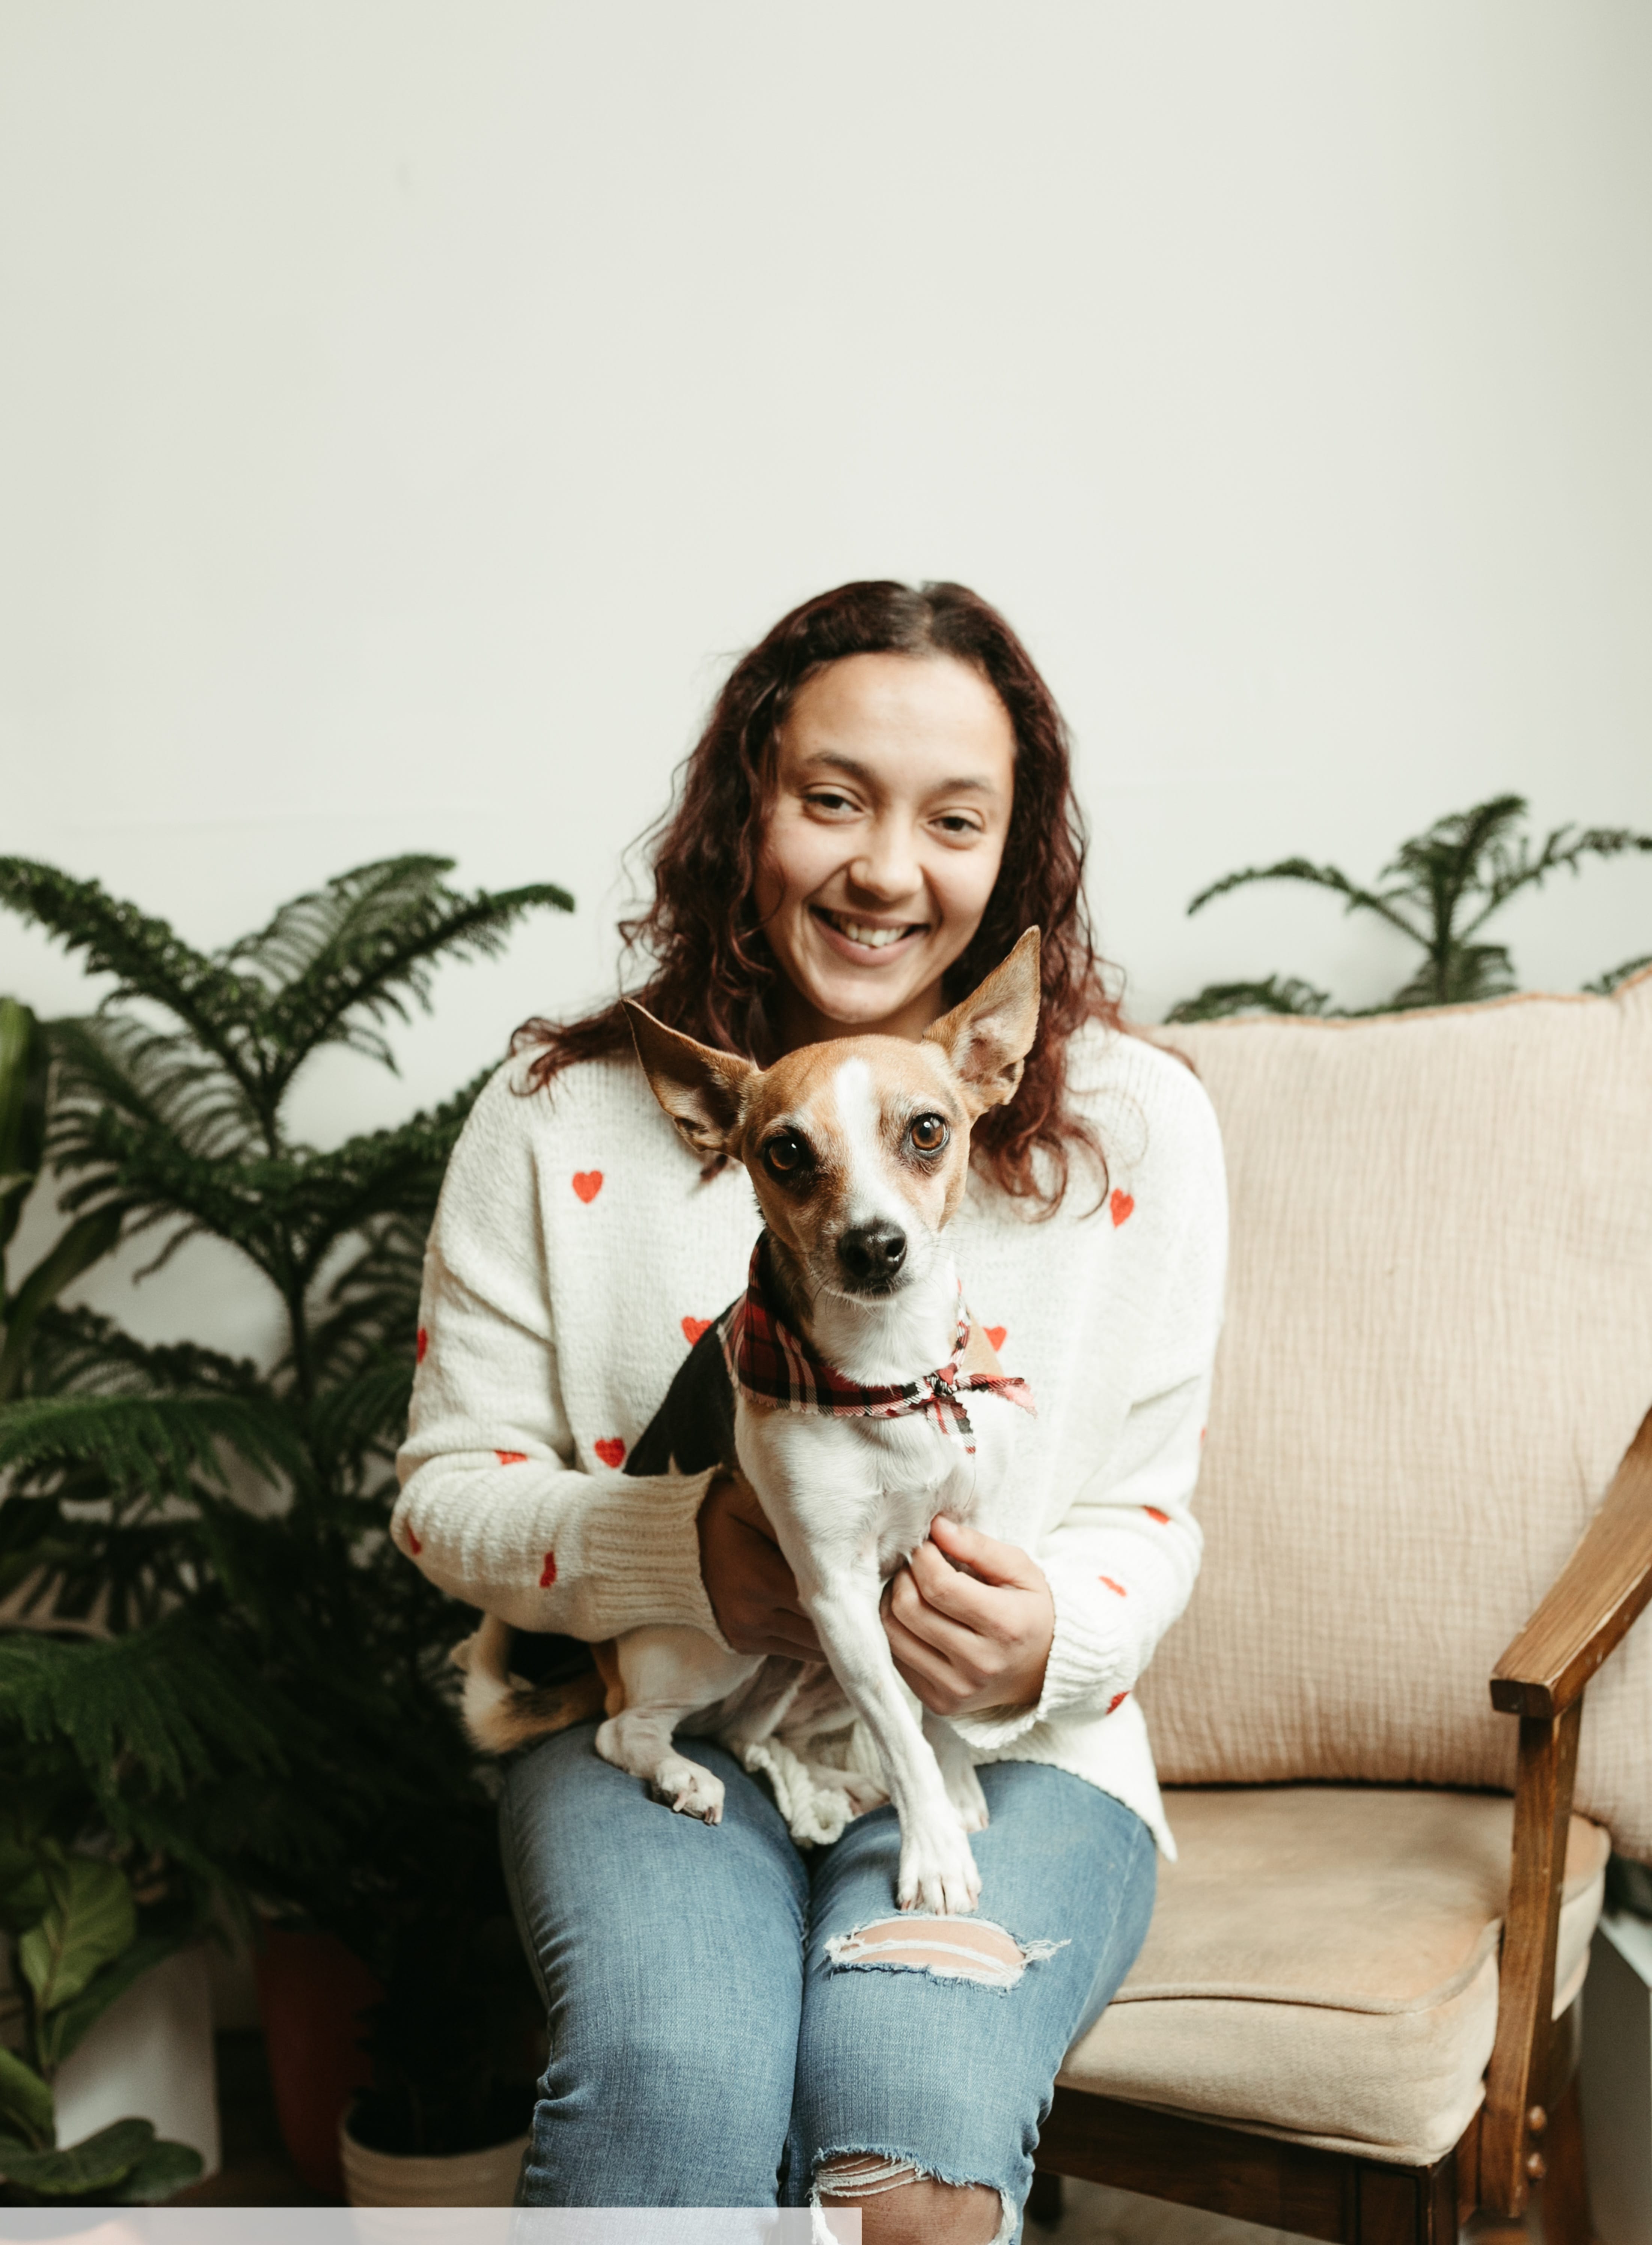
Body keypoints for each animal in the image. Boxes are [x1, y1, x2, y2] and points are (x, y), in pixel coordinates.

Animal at [458, 929, 1037, 1913]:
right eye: (787, 1151)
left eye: (928, 1130)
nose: (875, 1246)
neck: (885, 1376)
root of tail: (602, 1661)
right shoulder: (837, 1593)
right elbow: (902, 1726)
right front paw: (932, 1851)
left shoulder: (957, 1557)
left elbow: (938, 1707)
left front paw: (955, 1784)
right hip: (715, 1646)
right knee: (627, 1730)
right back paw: (683, 1776)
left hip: (799, 1671)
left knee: (754, 1735)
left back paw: (833, 1783)